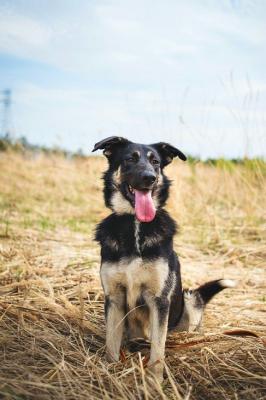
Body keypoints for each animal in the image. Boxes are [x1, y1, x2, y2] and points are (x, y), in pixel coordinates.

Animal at [92, 137, 234, 382]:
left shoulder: (159, 300)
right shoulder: (114, 298)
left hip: (189, 301)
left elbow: (158, 347)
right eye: (130, 159)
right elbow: (111, 342)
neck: (135, 224)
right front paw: (110, 369)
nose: (150, 177)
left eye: (155, 162)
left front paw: (154, 380)